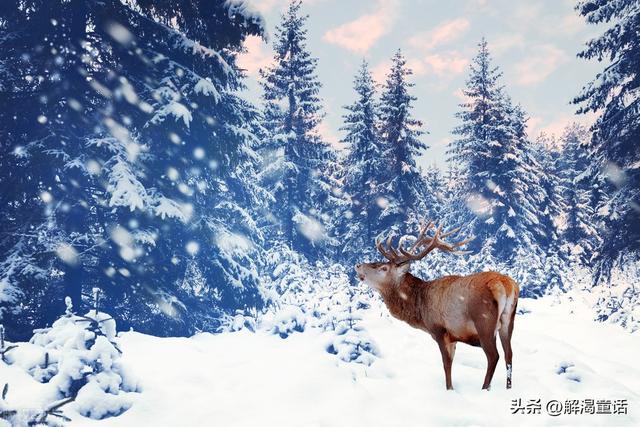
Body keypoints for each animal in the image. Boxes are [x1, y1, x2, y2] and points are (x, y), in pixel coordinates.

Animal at [356, 222, 520, 392]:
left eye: (383, 268)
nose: (358, 265)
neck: (420, 309)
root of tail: (506, 285)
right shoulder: (454, 336)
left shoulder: (439, 330)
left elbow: (446, 364)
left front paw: (449, 389)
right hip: (508, 321)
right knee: (509, 353)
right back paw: (508, 388)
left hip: (484, 322)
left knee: (494, 356)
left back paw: (484, 388)